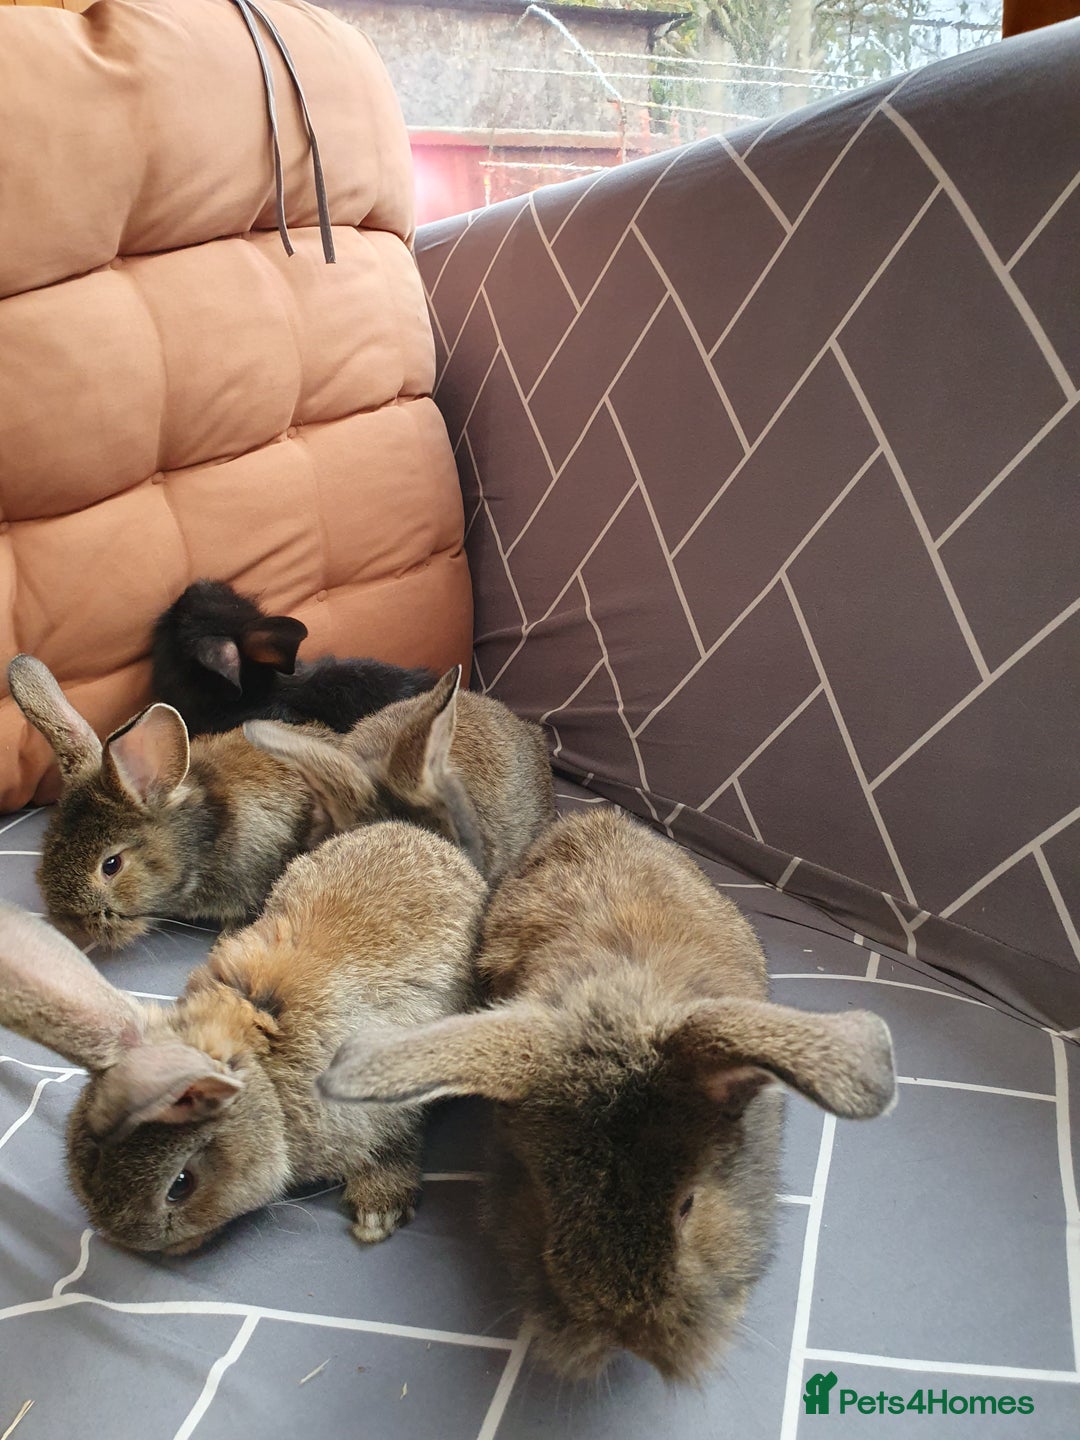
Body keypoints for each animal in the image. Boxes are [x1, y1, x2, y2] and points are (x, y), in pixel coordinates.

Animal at [0, 822, 486, 1253]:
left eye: (180, 1186)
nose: (141, 1246)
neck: (264, 1077)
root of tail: (419, 833)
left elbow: (392, 1146)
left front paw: (377, 1213)